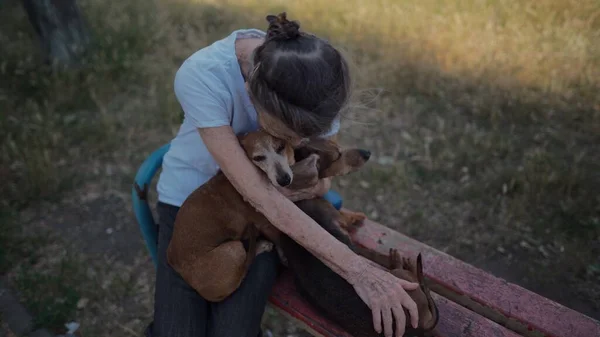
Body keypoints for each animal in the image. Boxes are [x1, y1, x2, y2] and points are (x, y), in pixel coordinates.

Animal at [165, 129, 370, 302]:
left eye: (280, 147)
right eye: (258, 157)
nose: (284, 179)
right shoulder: (267, 224)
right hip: (233, 248)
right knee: (243, 268)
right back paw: (262, 246)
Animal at [278, 197, 438, 336]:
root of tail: (422, 324)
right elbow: (348, 218)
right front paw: (358, 216)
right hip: (399, 277)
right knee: (412, 275)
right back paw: (399, 260)